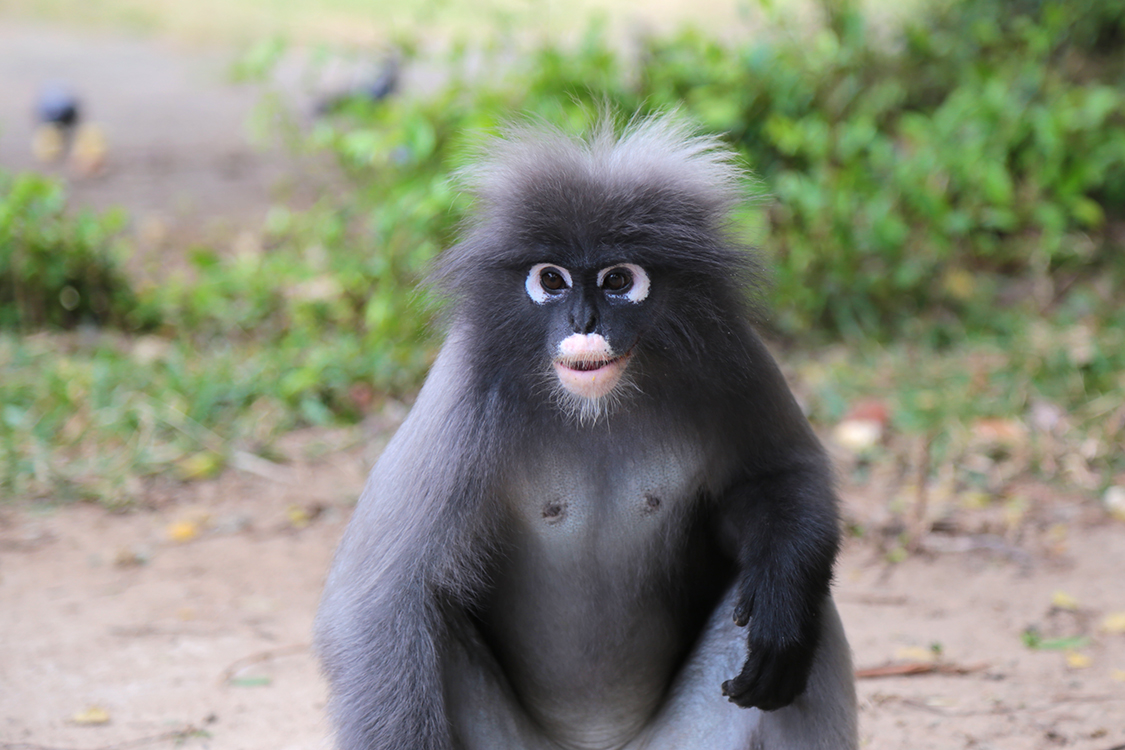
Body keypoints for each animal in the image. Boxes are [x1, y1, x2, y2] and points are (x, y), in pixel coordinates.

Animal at [317, 113, 859, 750]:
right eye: (551, 279)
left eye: (617, 279)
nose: (583, 321)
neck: (593, 408)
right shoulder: (463, 388)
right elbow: (379, 600)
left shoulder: (731, 353)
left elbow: (788, 473)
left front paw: (781, 599)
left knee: (805, 615)